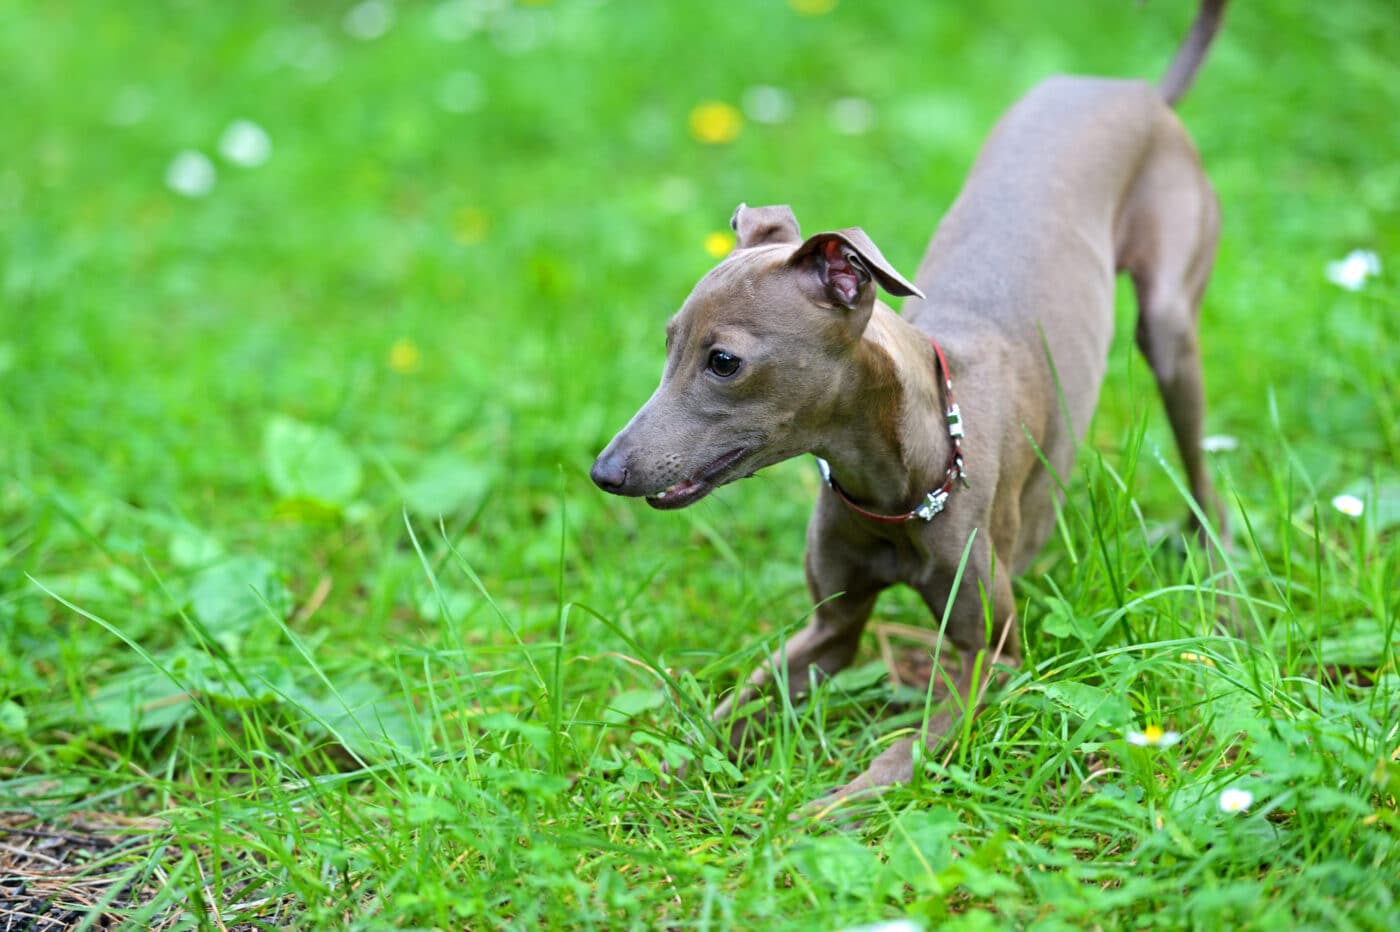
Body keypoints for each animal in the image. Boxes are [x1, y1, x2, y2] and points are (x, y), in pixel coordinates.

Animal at [590, 0, 1226, 800]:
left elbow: (895, 759)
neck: (899, 485)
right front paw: (641, 785)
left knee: (1204, 474)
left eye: (724, 362)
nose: (604, 471)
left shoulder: (993, 658)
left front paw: (819, 814)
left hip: (1170, 323)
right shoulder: (830, 629)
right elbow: (723, 714)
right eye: (669, 341)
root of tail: (1137, 91)